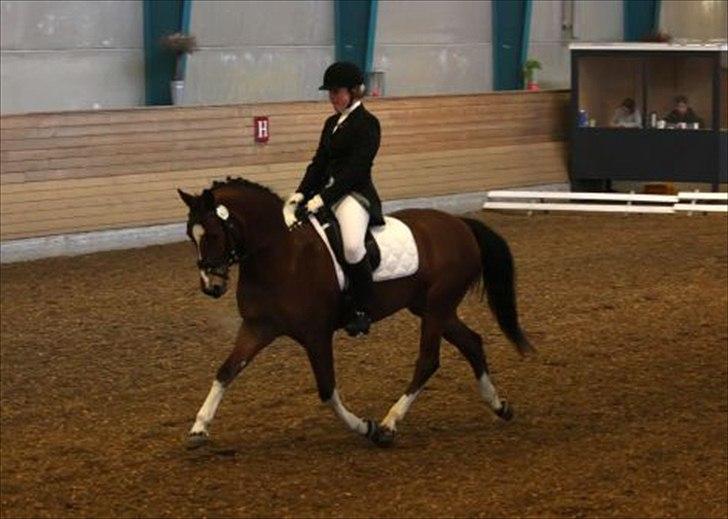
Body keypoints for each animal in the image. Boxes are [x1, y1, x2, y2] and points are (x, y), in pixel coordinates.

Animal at [177, 177, 533, 448]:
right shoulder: (257, 327)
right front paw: (199, 428)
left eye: (212, 234)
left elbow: (327, 389)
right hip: (431, 308)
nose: (212, 286)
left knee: (428, 361)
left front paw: (367, 427)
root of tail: (460, 224)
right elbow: (225, 372)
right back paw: (499, 406)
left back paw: (389, 424)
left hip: (437, 307)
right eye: (190, 235)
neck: (281, 257)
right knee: (472, 342)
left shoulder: (316, 335)